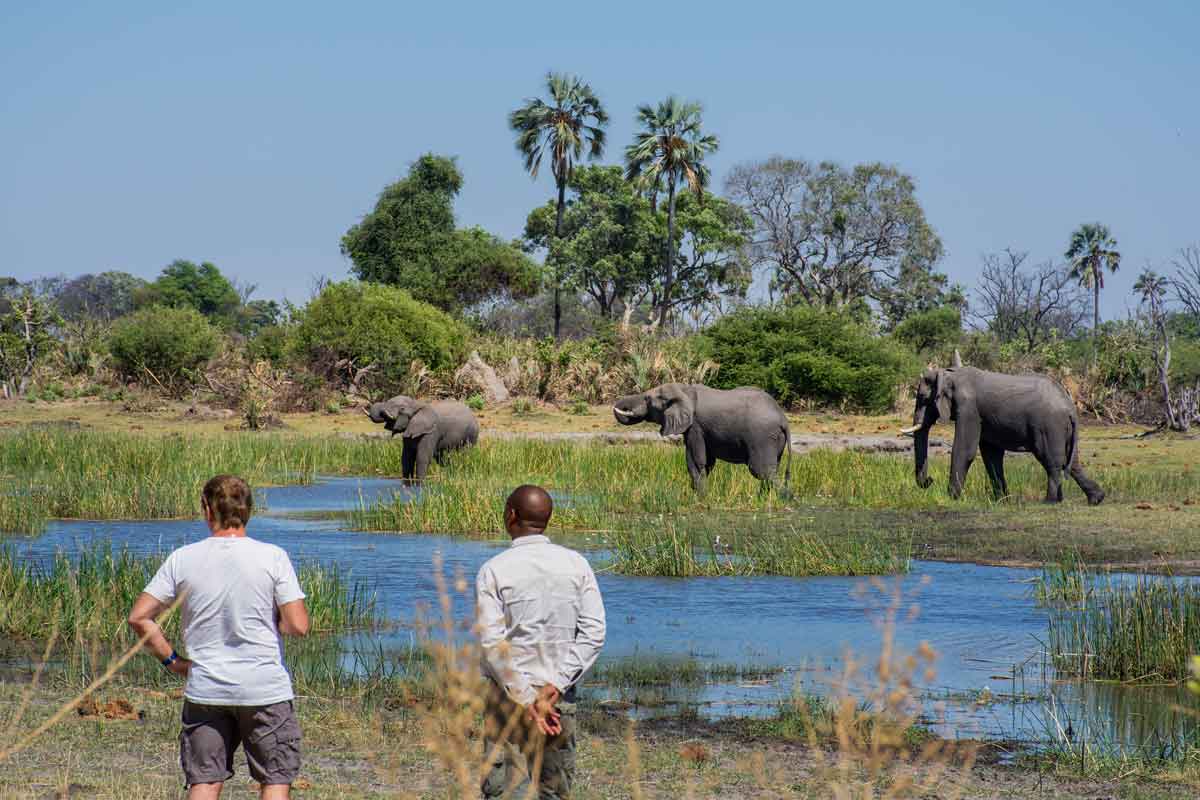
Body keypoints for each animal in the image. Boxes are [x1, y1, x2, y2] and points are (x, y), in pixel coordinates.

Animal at [614, 383, 792, 494]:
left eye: (647, 399)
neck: (685, 389)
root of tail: (784, 420)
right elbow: (707, 462)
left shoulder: (696, 426)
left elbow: (696, 461)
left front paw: (700, 497)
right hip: (773, 440)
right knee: (771, 470)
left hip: (762, 437)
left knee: (760, 470)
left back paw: (786, 499)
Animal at [902, 364, 1104, 506]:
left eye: (922, 398)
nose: (929, 481)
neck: (949, 373)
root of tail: (1070, 407)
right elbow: (991, 455)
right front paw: (1002, 500)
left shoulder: (969, 409)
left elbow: (965, 450)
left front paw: (952, 498)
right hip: (1062, 429)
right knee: (1072, 462)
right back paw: (1096, 499)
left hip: (1049, 426)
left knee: (1052, 461)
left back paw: (1049, 502)